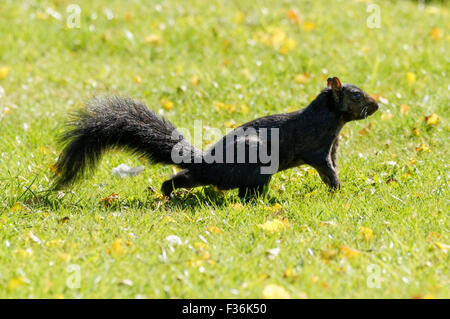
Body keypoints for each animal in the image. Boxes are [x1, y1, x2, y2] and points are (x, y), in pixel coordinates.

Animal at [52, 77, 378, 198]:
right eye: (356, 95)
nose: (376, 105)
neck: (331, 118)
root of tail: (207, 161)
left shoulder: (332, 147)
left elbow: (333, 165)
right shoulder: (316, 147)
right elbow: (327, 170)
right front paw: (339, 191)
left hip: (206, 176)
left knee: (184, 178)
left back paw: (168, 193)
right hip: (254, 163)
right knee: (244, 191)